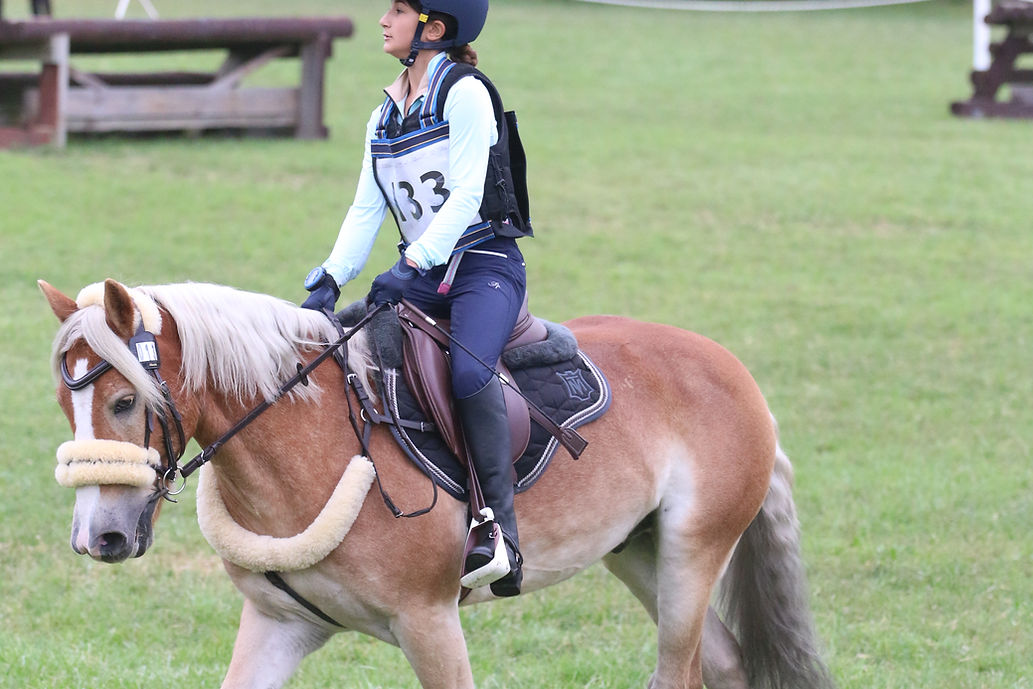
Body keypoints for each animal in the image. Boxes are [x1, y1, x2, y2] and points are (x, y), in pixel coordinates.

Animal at [40, 278, 834, 689]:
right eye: (63, 402)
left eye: (124, 401)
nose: (97, 536)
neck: (311, 445)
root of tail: (733, 371)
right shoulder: (278, 623)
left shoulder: (429, 623)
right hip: (639, 550)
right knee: (723, 662)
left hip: (693, 551)